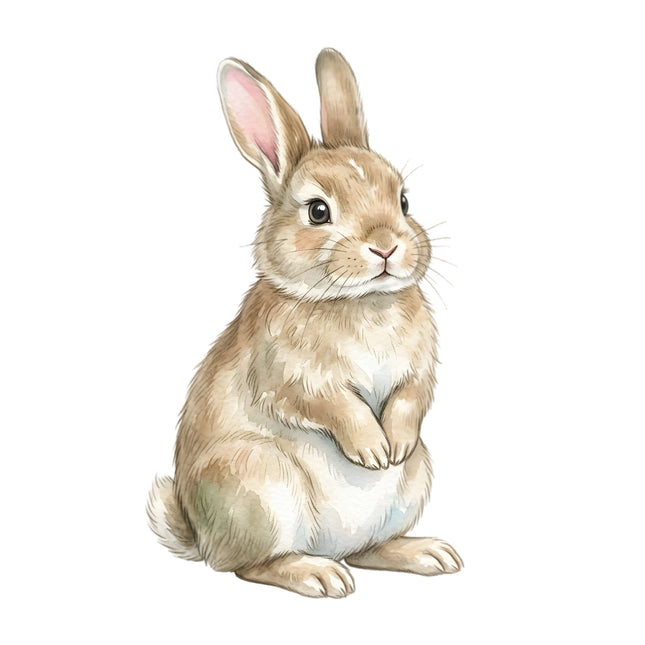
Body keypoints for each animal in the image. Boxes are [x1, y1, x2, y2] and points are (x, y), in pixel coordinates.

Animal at [147, 48, 463, 598]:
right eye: (318, 211)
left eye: (404, 200)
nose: (386, 246)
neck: (358, 301)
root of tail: (200, 537)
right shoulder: (290, 378)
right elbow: (335, 406)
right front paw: (373, 451)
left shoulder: (419, 369)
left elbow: (411, 398)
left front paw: (395, 445)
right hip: (259, 484)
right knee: (247, 565)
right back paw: (318, 575)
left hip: (413, 482)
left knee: (366, 550)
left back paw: (427, 553)